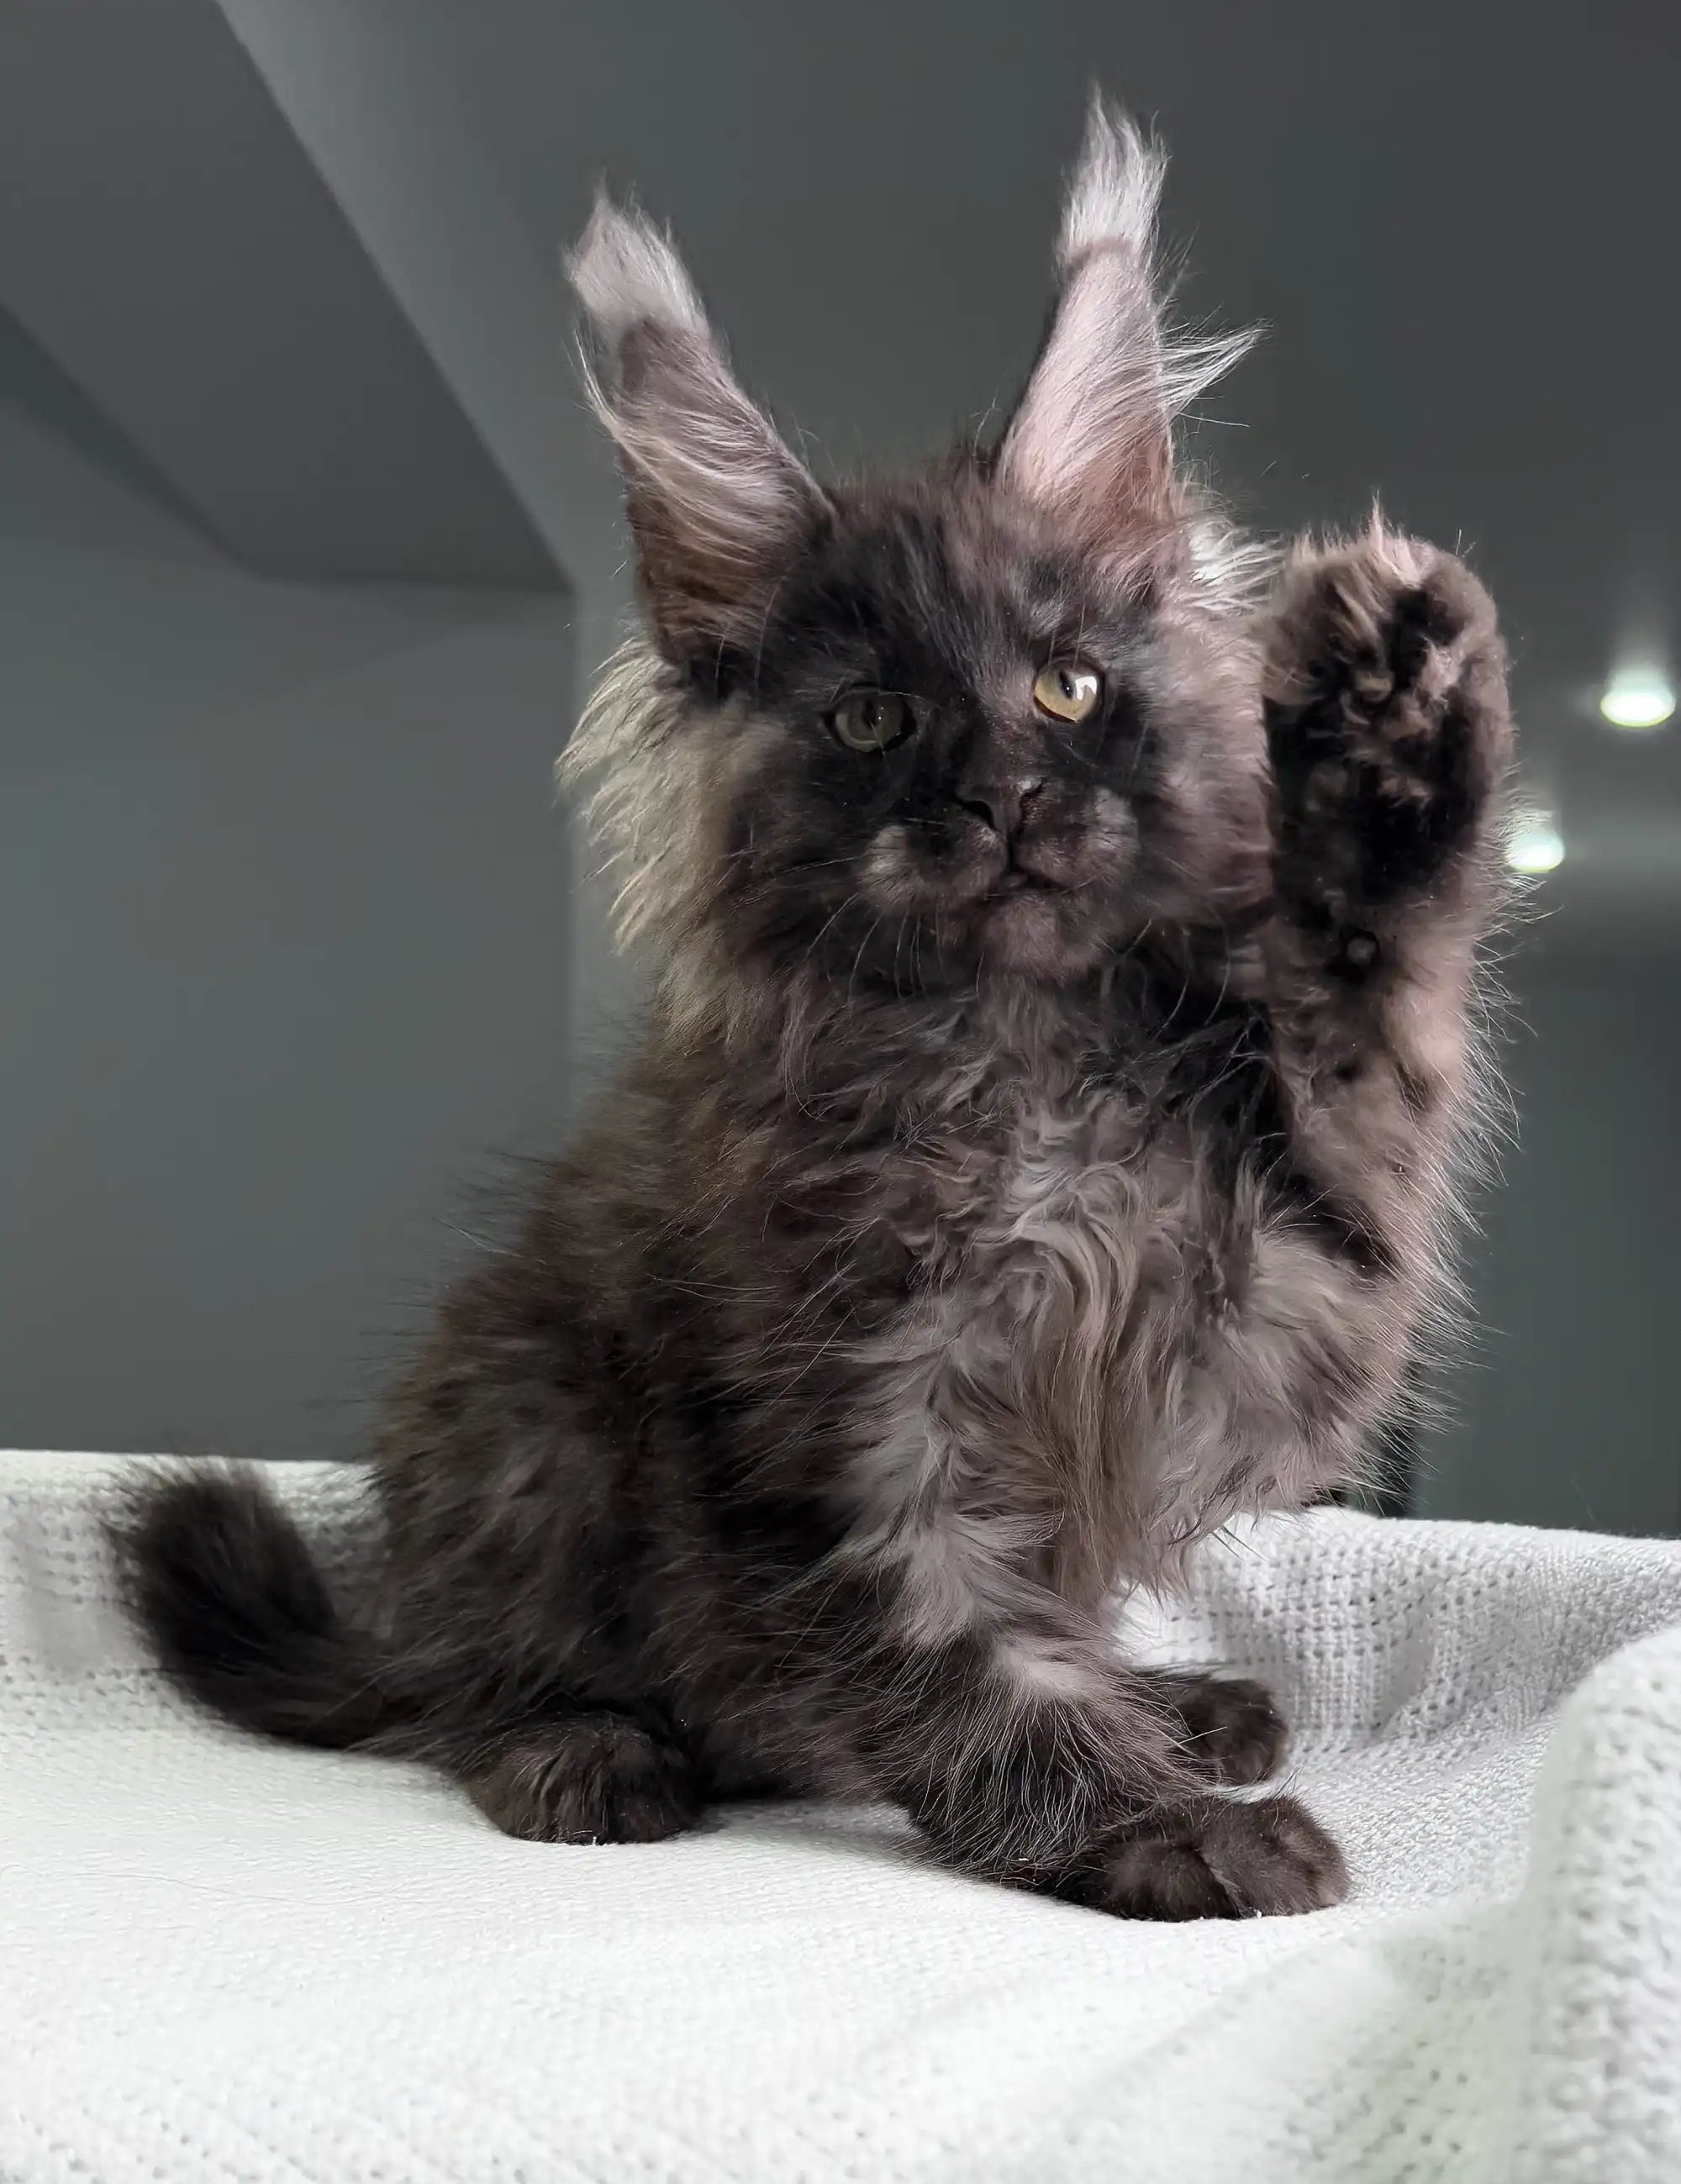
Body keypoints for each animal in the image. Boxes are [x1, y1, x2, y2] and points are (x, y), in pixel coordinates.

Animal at [114, 103, 1502, 1922]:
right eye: (871, 719)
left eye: (1066, 683)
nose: (1001, 801)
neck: (1022, 1058)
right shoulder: (855, 1431)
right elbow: (975, 1671)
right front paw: (1157, 1828)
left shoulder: (1284, 1296)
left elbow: (1373, 1018)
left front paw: (1393, 720)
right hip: (525, 1412)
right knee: (472, 1683)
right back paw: (588, 1746)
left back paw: (1186, 1699)